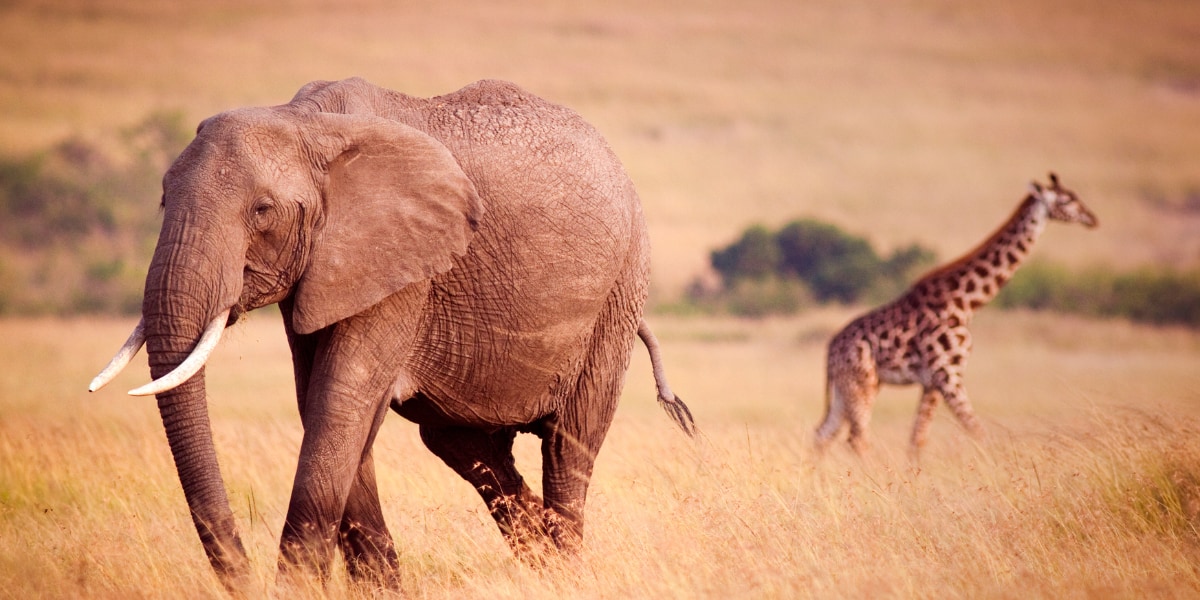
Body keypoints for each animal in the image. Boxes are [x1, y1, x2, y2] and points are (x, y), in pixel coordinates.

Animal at [91, 76, 696, 590]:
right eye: (162, 198)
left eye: (262, 210)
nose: (244, 580)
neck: (306, 123)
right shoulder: (327, 266)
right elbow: (322, 403)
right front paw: (380, 589)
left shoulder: (403, 266)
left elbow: (341, 399)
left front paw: (299, 590)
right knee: (468, 449)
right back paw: (543, 563)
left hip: (617, 295)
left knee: (568, 446)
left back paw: (568, 572)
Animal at [816, 172, 1099, 453]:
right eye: (1066, 200)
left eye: (1075, 195)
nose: (1092, 218)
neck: (966, 303)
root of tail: (831, 351)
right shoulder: (948, 374)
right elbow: (977, 430)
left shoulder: (932, 382)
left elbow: (918, 439)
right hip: (862, 382)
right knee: (857, 438)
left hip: (849, 388)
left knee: (823, 434)